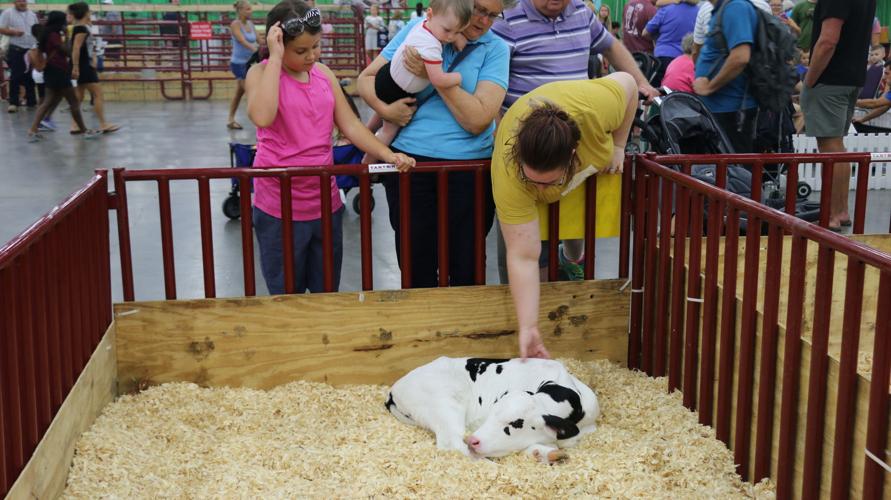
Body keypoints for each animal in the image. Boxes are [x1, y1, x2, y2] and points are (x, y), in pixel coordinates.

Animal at [385, 357, 600, 464]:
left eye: (516, 423)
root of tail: (394, 389)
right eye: (492, 412)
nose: (474, 440)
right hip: (445, 405)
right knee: (451, 443)